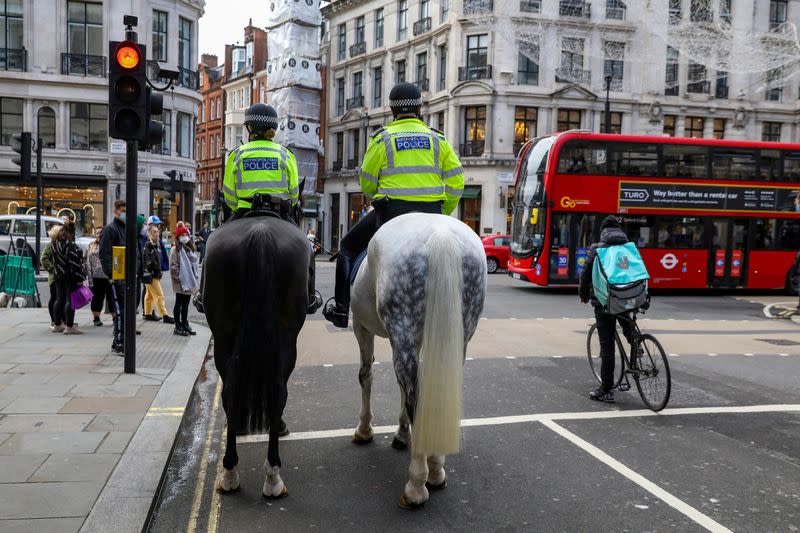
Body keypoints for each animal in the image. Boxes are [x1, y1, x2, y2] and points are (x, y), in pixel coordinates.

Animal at [203, 213, 310, 498]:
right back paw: (271, 475)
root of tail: (260, 232)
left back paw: (232, 471)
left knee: (232, 392)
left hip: (224, 335)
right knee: (276, 393)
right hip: (285, 339)